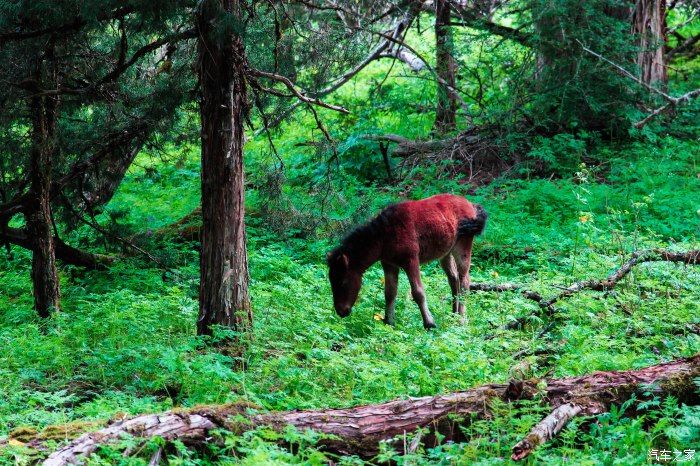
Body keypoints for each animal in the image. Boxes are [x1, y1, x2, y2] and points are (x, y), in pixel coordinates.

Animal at [328, 193, 486, 328]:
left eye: (342, 282)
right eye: (331, 280)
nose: (341, 311)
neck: (385, 234)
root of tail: (471, 205)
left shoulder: (411, 261)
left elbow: (418, 292)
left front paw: (430, 324)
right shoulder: (389, 264)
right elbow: (390, 293)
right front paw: (389, 322)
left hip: (462, 248)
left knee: (464, 281)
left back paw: (461, 320)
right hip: (445, 253)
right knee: (454, 279)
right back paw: (454, 314)